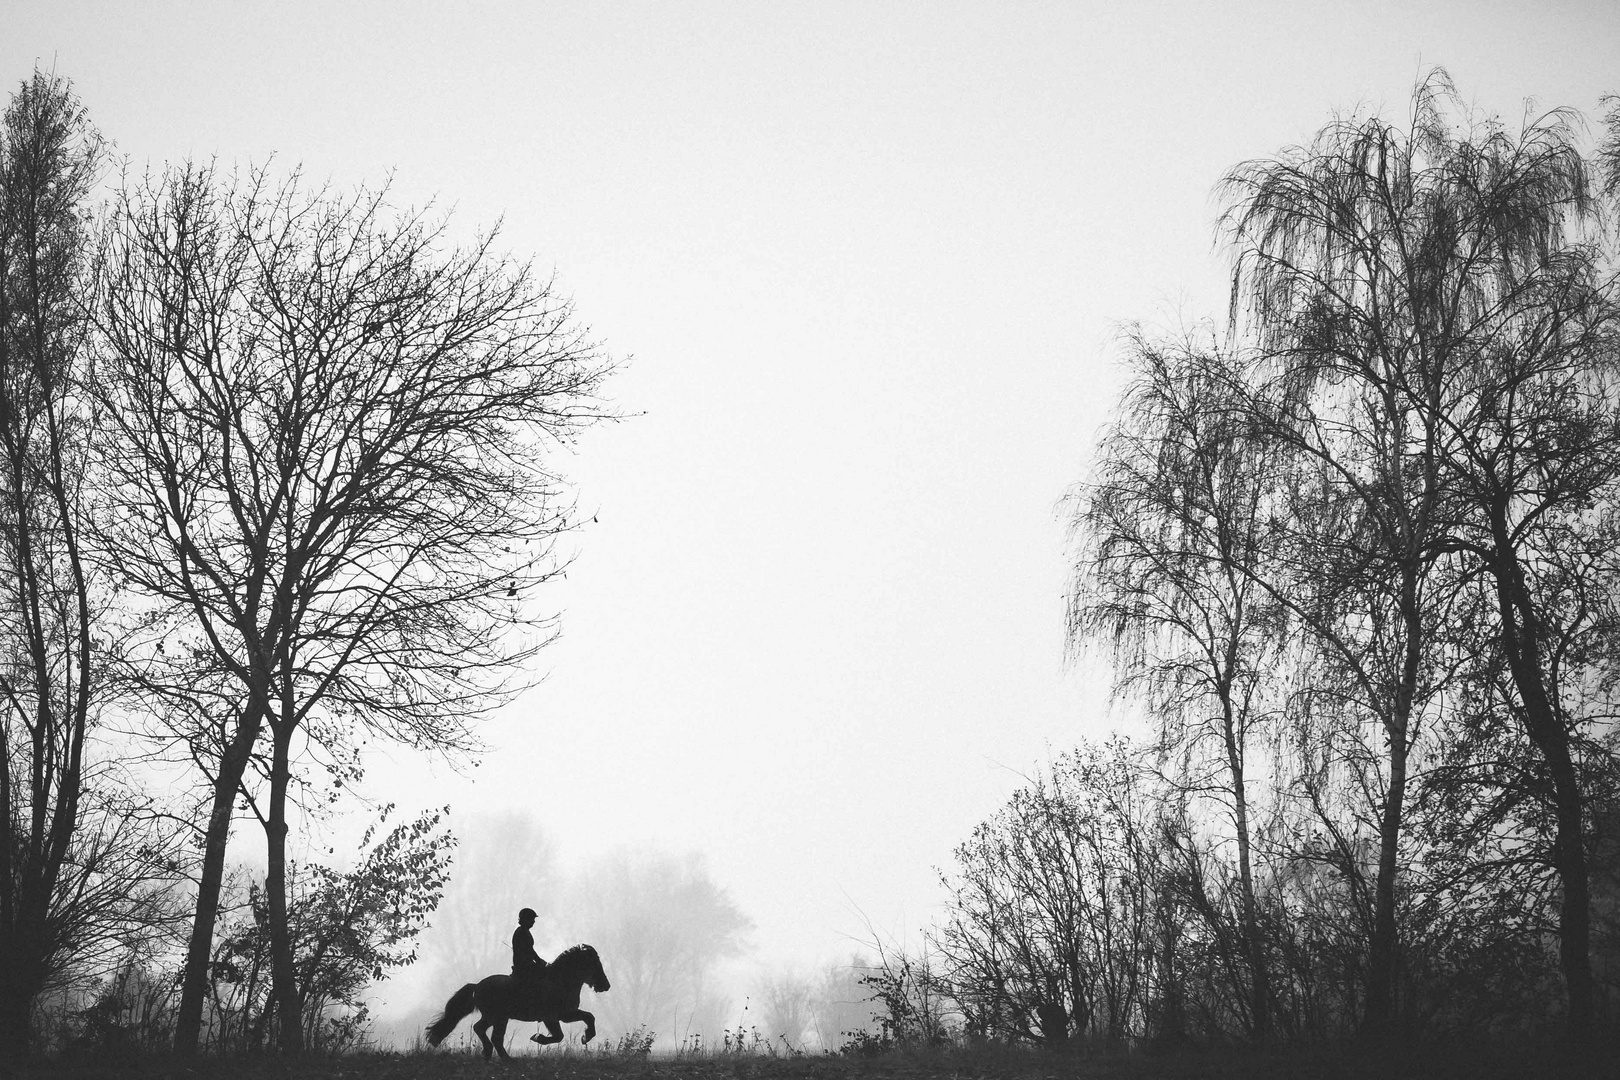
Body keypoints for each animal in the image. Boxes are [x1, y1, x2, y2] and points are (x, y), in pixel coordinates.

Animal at [424, 939, 612, 1062]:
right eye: (594, 963)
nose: (606, 985)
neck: (560, 980)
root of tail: (477, 986)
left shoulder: (565, 1014)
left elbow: (588, 1017)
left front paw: (585, 1038)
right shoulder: (554, 1017)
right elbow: (560, 1035)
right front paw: (538, 1038)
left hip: (495, 1017)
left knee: (484, 1031)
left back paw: (492, 1054)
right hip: (498, 1017)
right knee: (491, 1035)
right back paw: (503, 1057)